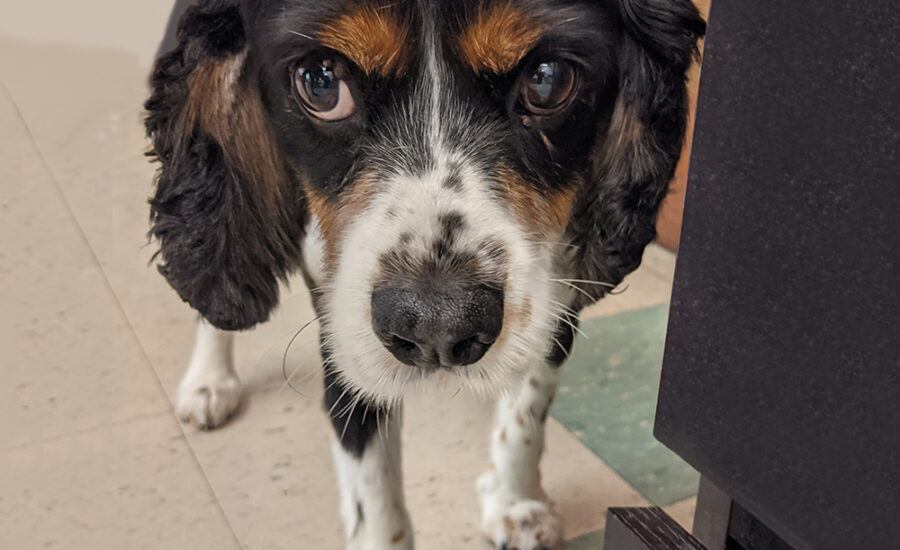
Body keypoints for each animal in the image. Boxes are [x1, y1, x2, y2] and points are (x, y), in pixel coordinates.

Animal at [146, 2, 704, 548]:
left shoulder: (557, 286)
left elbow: (530, 404)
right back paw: (209, 381)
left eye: (548, 80)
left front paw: (513, 501)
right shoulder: (344, 337)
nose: (438, 327)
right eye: (321, 82)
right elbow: (376, 499)